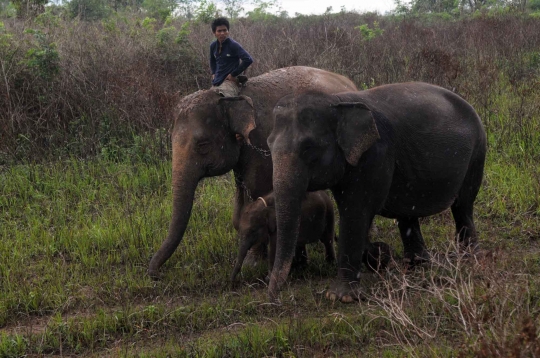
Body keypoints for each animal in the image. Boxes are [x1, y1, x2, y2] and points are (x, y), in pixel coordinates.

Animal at [149, 66, 358, 276]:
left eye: (203, 145)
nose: (154, 274)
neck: (230, 98)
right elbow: (240, 204)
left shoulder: (262, 144)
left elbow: (258, 192)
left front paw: (253, 264)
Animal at [268, 83, 488, 302]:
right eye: (269, 145)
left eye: (308, 147)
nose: (273, 296)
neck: (337, 100)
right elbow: (354, 211)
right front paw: (379, 256)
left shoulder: (375, 155)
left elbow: (357, 211)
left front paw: (341, 297)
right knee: (408, 212)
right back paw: (417, 264)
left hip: (477, 152)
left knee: (463, 206)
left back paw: (469, 259)